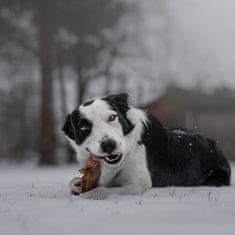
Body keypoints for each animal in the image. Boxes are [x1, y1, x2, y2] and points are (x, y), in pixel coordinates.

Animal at [61, 92, 230, 199]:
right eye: (83, 127)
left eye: (112, 117)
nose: (109, 145)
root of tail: (213, 142)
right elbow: (72, 182)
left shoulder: (138, 183)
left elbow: (102, 190)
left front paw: (88, 194)